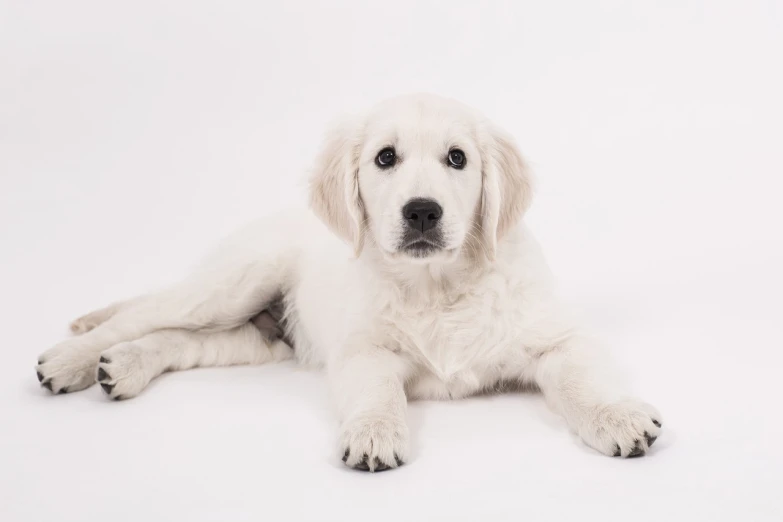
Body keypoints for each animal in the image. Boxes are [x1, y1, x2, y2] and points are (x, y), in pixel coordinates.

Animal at [36, 94, 660, 472]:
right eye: (385, 158)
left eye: (458, 158)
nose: (422, 211)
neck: (436, 287)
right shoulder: (365, 350)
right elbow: (376, 393)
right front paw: (374, 434)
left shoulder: (559, 339)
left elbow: (584, 381)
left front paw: (618, 415)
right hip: (233, 284)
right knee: (141, 317)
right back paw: (71, 358)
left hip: (256, 338)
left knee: (177, 341)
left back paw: (123, 367)